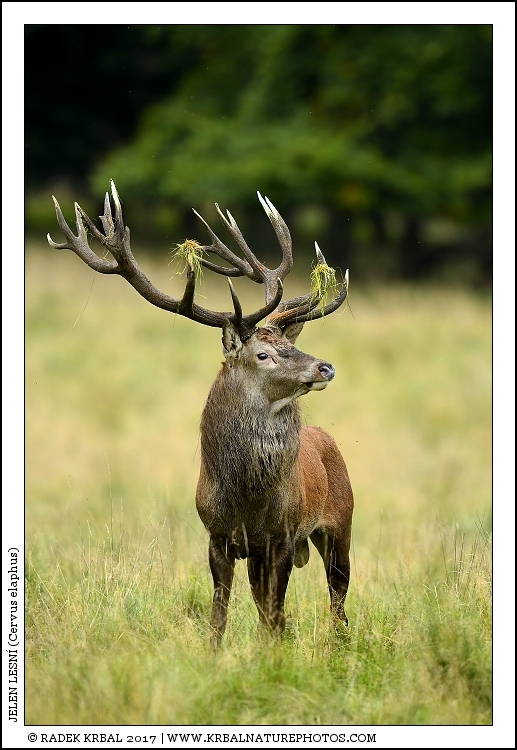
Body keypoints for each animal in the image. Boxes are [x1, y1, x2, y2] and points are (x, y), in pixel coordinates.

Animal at [48, 182, 354, 649]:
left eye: (290, 345)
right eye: (263, 354)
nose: (325, 367)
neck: (246, 499)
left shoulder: (282, 537)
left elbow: (275, 615)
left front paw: (272, 656)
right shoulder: (217, 537)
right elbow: (220, 614)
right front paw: (215, 654)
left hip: (341, 525)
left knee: (338, 600)